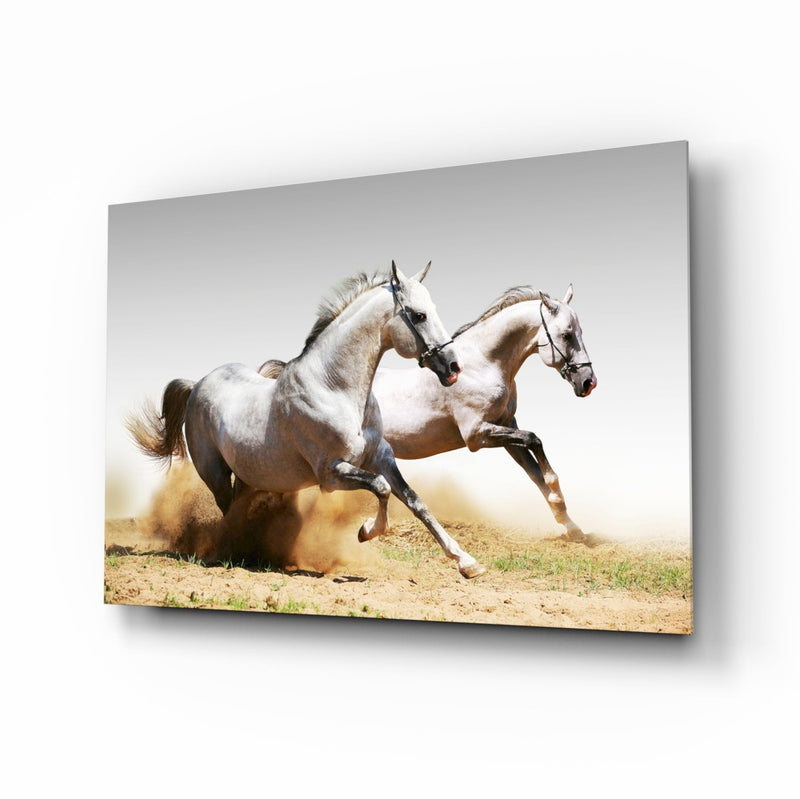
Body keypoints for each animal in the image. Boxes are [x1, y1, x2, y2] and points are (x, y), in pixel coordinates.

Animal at [127, 262, 487, 578]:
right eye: (418, 314)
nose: (453, 367)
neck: (334, 388)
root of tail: (198, 383)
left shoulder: (381, 457)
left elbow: (415, 501)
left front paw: (468, 563)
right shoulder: (331, 473)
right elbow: (382, 489)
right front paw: (365, 531)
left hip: (249, 473)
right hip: (214, 473)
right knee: (227, 510)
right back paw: (231, 552)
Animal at [260, 283, 597, 538]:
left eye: (580, 331)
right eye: (567, 334)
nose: (588, 382)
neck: (483, 364)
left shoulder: (505, 426)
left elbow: (533, 471)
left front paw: (573, 527)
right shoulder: (478, 435)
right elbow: (535, 441)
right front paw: (558, 495)